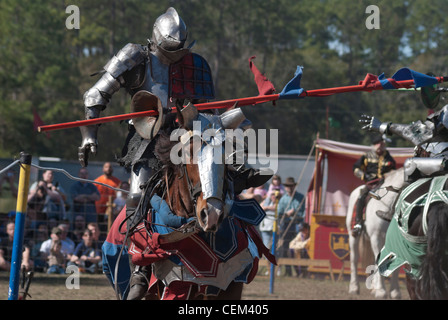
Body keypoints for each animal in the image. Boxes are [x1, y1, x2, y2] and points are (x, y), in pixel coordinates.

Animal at [344, 168, 404, 300]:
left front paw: (395, 292)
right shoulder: (376, 237)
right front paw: (381, 291)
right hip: (353, 236)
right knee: (354, 259)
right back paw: (354, 287)